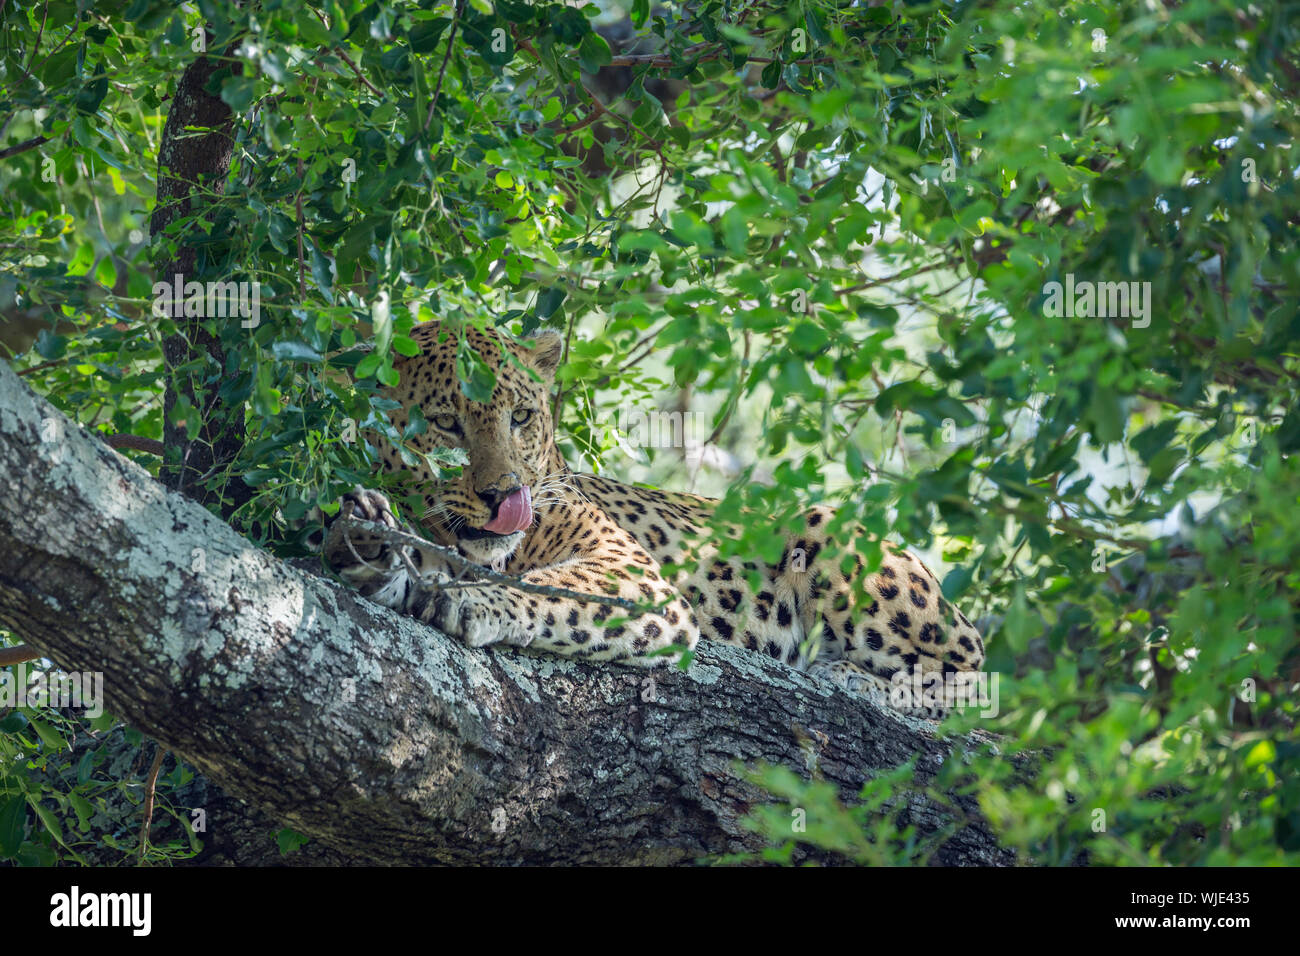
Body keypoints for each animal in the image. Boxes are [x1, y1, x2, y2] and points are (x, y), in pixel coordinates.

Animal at [323, 322, 987, 715]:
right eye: (444, 424)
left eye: (520, 417)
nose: (505, 497)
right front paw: (367, 542)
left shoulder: (629, 570)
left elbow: (551, 586)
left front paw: (473, 600)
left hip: (832, 532)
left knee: (970, 673)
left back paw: (854, 678)